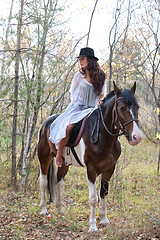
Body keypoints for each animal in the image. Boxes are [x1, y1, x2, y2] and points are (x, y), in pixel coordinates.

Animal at [38, 81, 142, 232]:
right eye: (122, 108)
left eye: (137, 107)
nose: (137, 137)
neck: (102, 135)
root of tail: (46, 123)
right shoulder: (91, 170)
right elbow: (93, 198)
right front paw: (92, 226)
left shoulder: (109, 169)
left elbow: (104, 193)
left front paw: (104, 219)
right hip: (44, 158)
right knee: (44, 183)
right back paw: (44, 210)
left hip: (64, 163)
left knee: (58, 182)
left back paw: (60, 209)